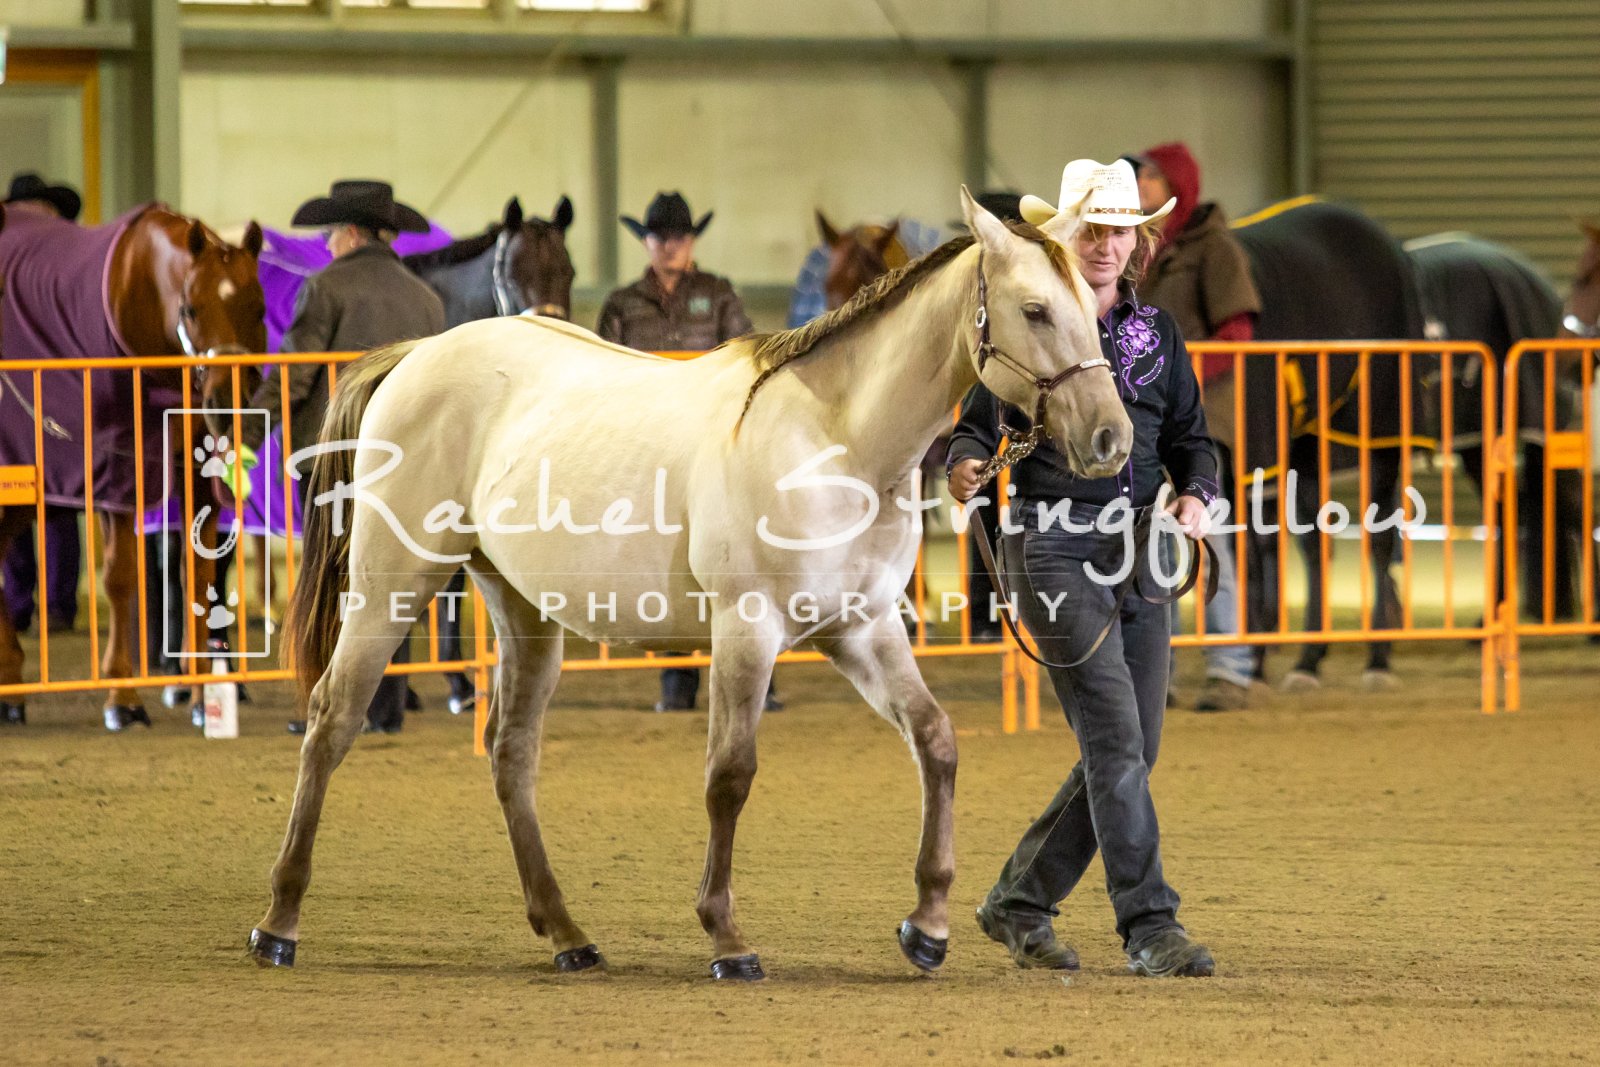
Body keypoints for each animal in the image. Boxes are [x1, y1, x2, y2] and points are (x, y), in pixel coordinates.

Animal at [0, 202, 267, 729]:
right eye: (191, 309)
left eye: (259, 309)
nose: (226, 404)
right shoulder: (116, 476)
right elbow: (121, 578)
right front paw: (122, 696)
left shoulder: (197, 478)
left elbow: (196, 576)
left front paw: (202, 695)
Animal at [245, 189, 1133, 980]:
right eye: (1034, 309)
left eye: (1090, 305)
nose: (1110, 439)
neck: (836, 441)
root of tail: (414, 356)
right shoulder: (748, 630)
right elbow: (730, 775)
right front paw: (727, 936)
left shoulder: (862, 628)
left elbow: (937, 742)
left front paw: (929, 924)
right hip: (390, 587)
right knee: (332, 719)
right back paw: (278, 922)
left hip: (525, 609)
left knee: (511, 750)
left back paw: (567, 932)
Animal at [1228, 197, 1431, 689]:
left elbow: (1254, 555)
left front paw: (1250, 663)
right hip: (1308, 442)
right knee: (1315, 543)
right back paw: (1307, 660)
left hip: (1380, 430)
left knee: (1378, 539)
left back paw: (1377, 659)